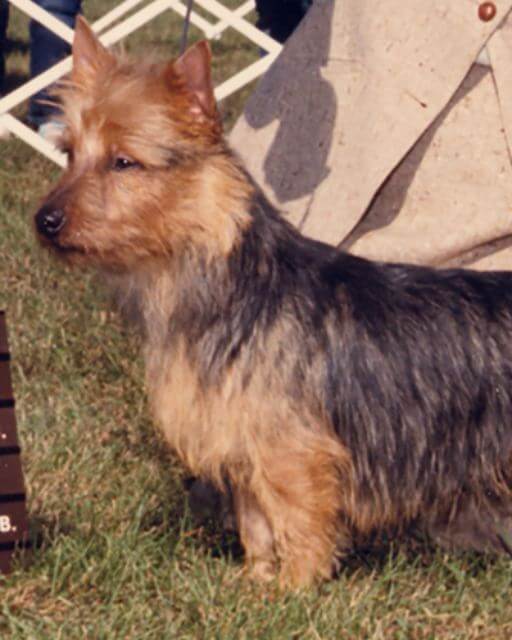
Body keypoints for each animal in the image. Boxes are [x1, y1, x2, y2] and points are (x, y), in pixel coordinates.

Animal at [35, 17, 512, 588]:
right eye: (68, 153)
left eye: (124, 162)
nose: (44, 220)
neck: (231, 289)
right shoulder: (245, 444)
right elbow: (258, 525)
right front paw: (256, 584)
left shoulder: (295, 453)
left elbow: (298, 525)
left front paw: (295, 590)